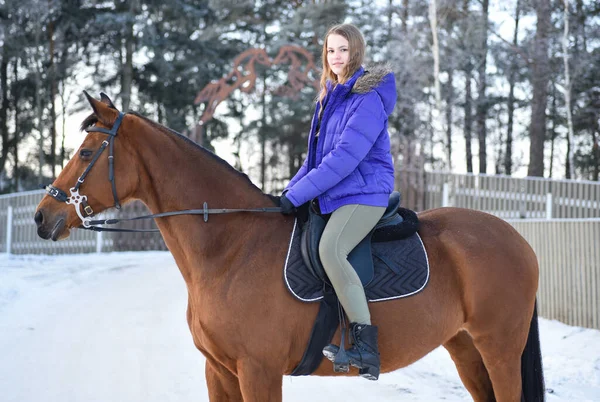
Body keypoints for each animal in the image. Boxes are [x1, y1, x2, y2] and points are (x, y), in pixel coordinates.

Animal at [35, 92, 548, 400]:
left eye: (85, 153)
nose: (43, 217)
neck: (230, 249)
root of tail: (517, 239)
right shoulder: (220, 371)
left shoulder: (257, 370)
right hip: (465, 347)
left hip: (499, 348)